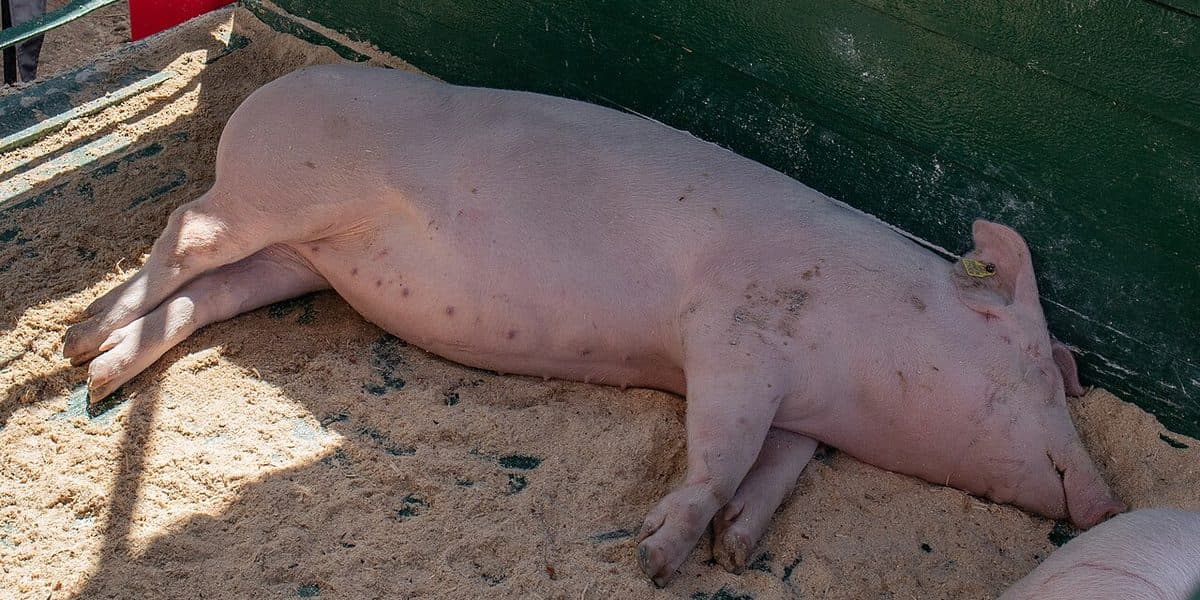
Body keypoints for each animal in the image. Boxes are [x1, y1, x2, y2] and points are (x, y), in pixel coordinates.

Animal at [61, 64, 1125, 586]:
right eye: (1037, 367)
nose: (1110, 500)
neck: (858, 355)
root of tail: (266, 93)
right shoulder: (730, 333)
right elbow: (721, 447)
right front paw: (657, 559)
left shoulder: (799, 407)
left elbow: (780, 464)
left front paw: (738, 550)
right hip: (273, 195)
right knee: (182, 228)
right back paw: (77, 342)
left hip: (300, 259)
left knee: (212, 291)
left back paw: (104, 373)